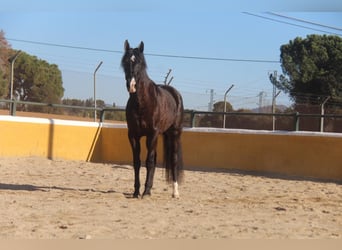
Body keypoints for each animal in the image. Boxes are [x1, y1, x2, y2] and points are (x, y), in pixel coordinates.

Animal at [121, 40, 184, 198]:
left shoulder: (152, 134)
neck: (142, 102)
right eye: (125, 62)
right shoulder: (133, 135)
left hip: (174, 134)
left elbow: (148, 162)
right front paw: (137, 191)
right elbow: (137, 162)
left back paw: (175, 192)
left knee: (173, 160)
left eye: (140, 62)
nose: (131, 85)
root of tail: (175, 93)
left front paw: (144, 192)